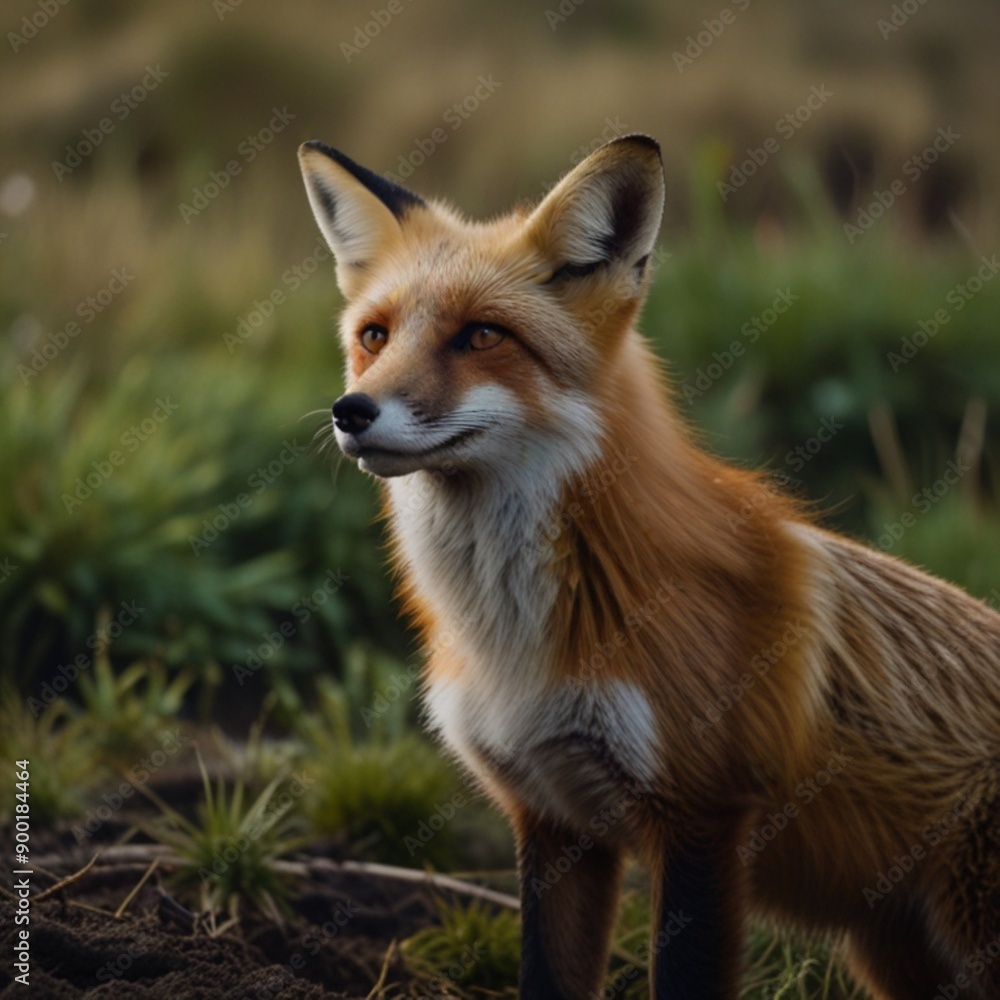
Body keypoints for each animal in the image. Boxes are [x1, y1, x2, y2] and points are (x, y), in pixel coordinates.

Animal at [297, 133, 1000, 999]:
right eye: (375, 337)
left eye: (482, 336)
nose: (351, 412)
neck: (519, 641)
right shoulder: (556, 817)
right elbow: (548, 977)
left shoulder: (702, 815)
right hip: (897, 951)